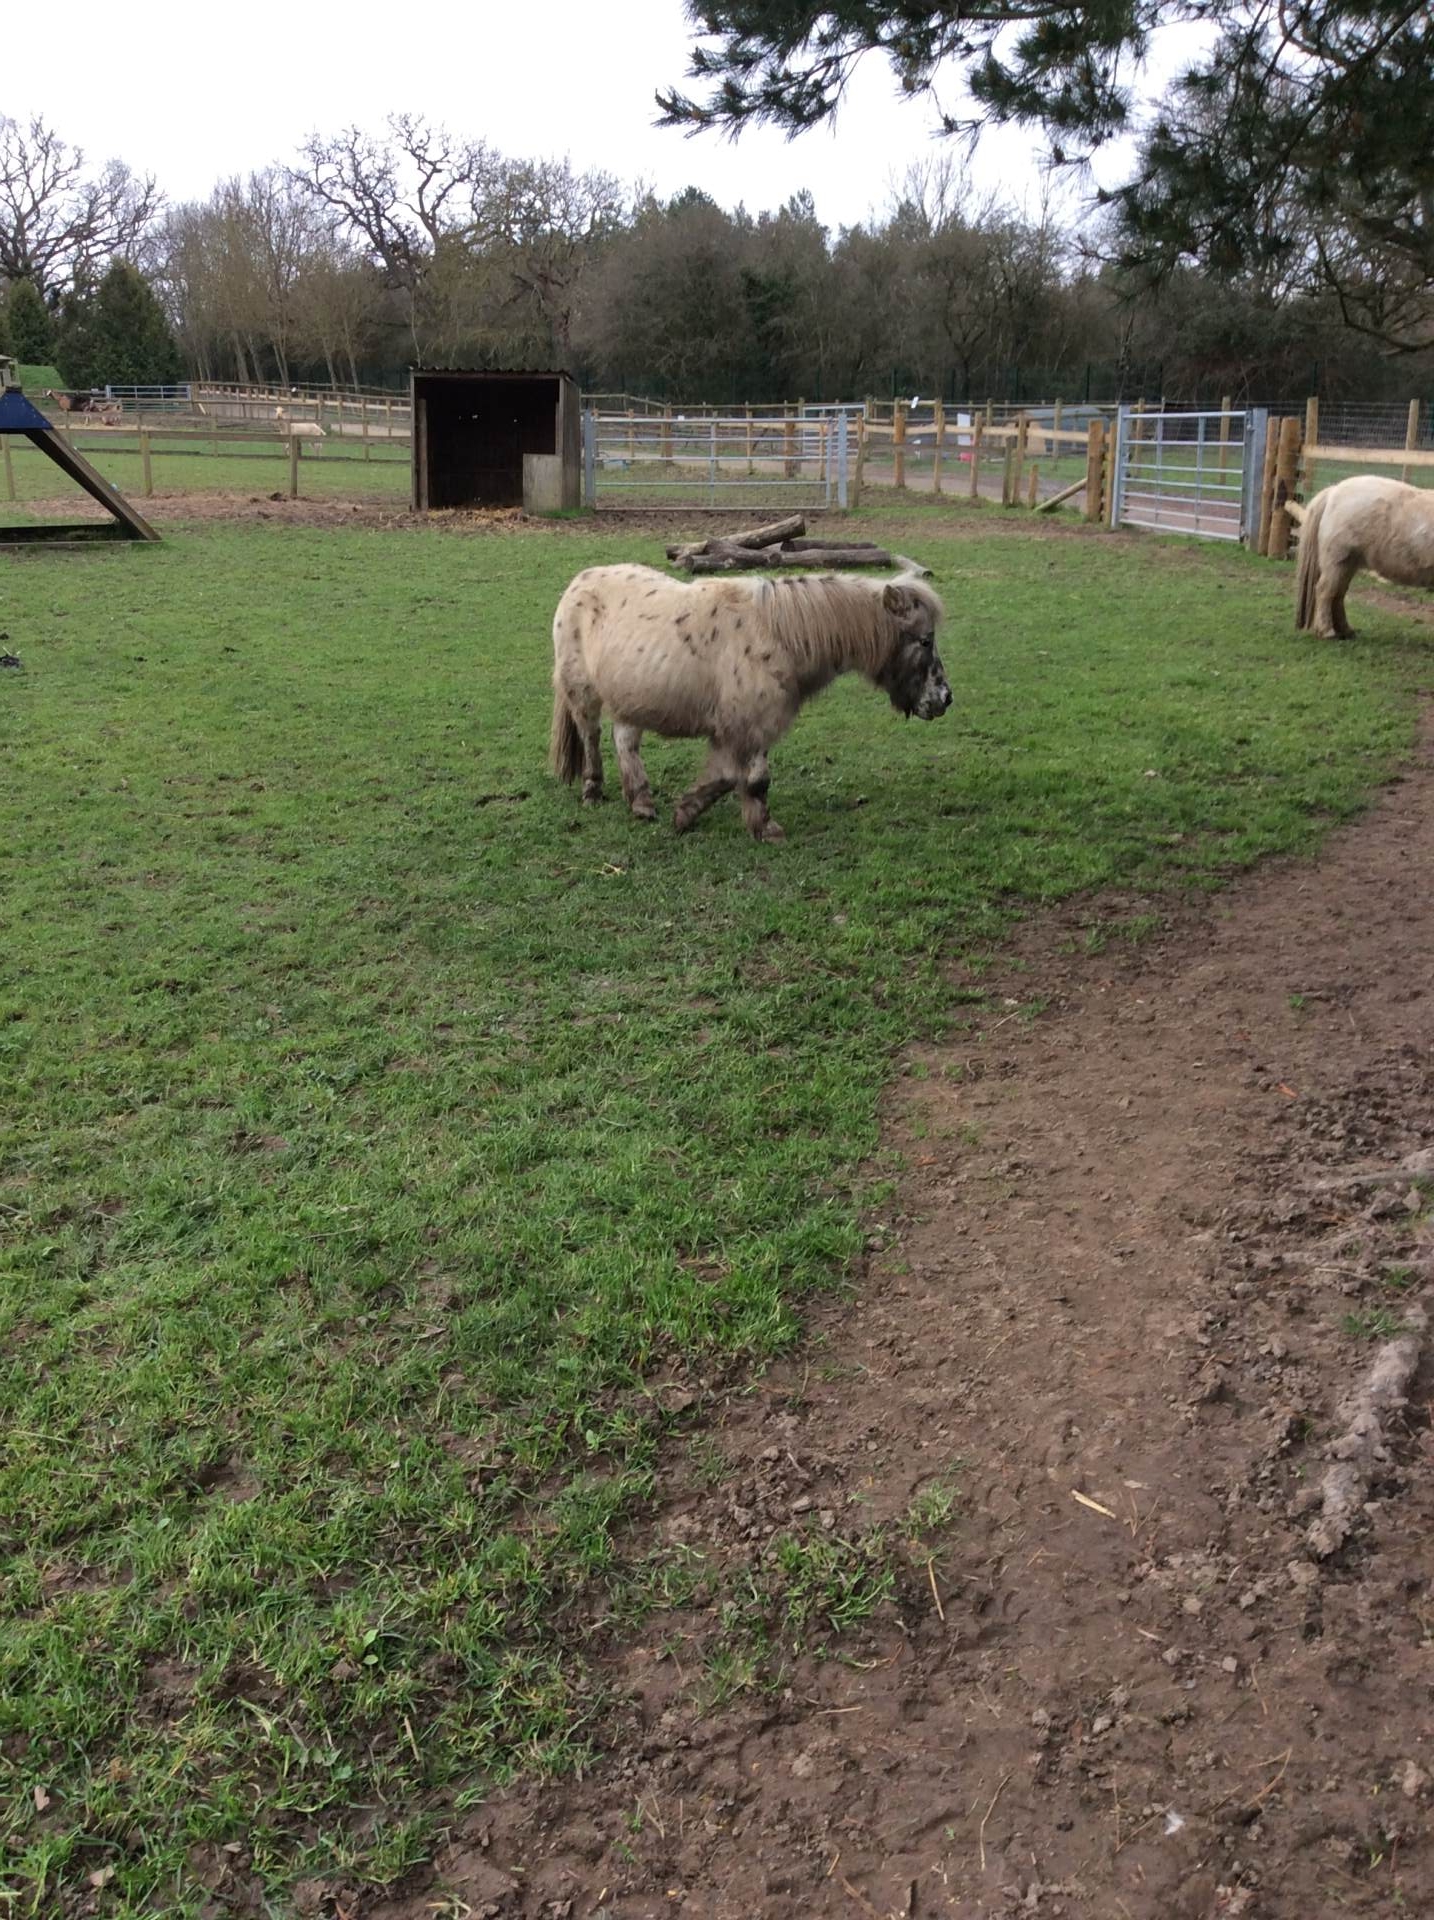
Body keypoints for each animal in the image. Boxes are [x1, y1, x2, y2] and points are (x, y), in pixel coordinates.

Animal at [549, 564, 951, 841]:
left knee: (625, 742)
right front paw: (761, 827)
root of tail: (578, 582)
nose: (945, 699)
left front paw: (687, 812)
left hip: (630, 696)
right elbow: (749, 779)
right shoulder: (746, 726)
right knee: (591, 737)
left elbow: (732, 775)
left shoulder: (746, 730)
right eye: (925, 640)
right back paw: (593, 791)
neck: (779, 636)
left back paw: (642, 803)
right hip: (583, 691)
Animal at [1293, 476, 1434, 638]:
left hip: (1348, 564)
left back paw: (1345, 630)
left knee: (1338, 594)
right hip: (1336, 562)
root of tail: (1333, 492)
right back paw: (1327, 631)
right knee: (1325, 591)